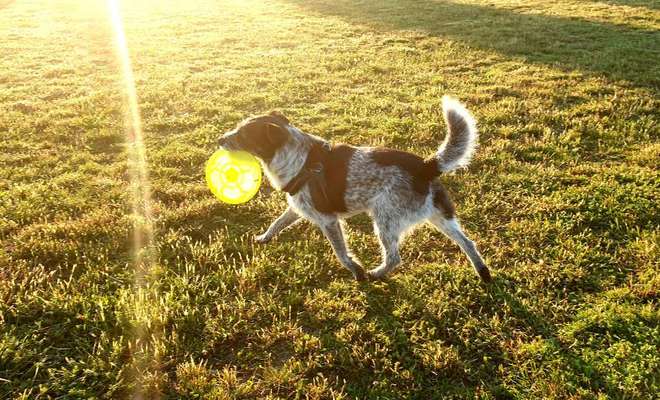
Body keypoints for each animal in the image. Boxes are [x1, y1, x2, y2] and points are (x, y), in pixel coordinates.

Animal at [219, 96, 492, 284]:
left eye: (243, 135)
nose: (219, 140)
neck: (297, 156)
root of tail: (427, 166)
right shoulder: (297, 208)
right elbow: (276, 223)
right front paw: (263, 238)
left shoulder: (328, 220)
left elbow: (340, 252)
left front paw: (356, 270)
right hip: (441, 217)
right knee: (468, 242)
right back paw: (483, 272)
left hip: (385, 221)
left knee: (394, 257)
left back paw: (376, 274)